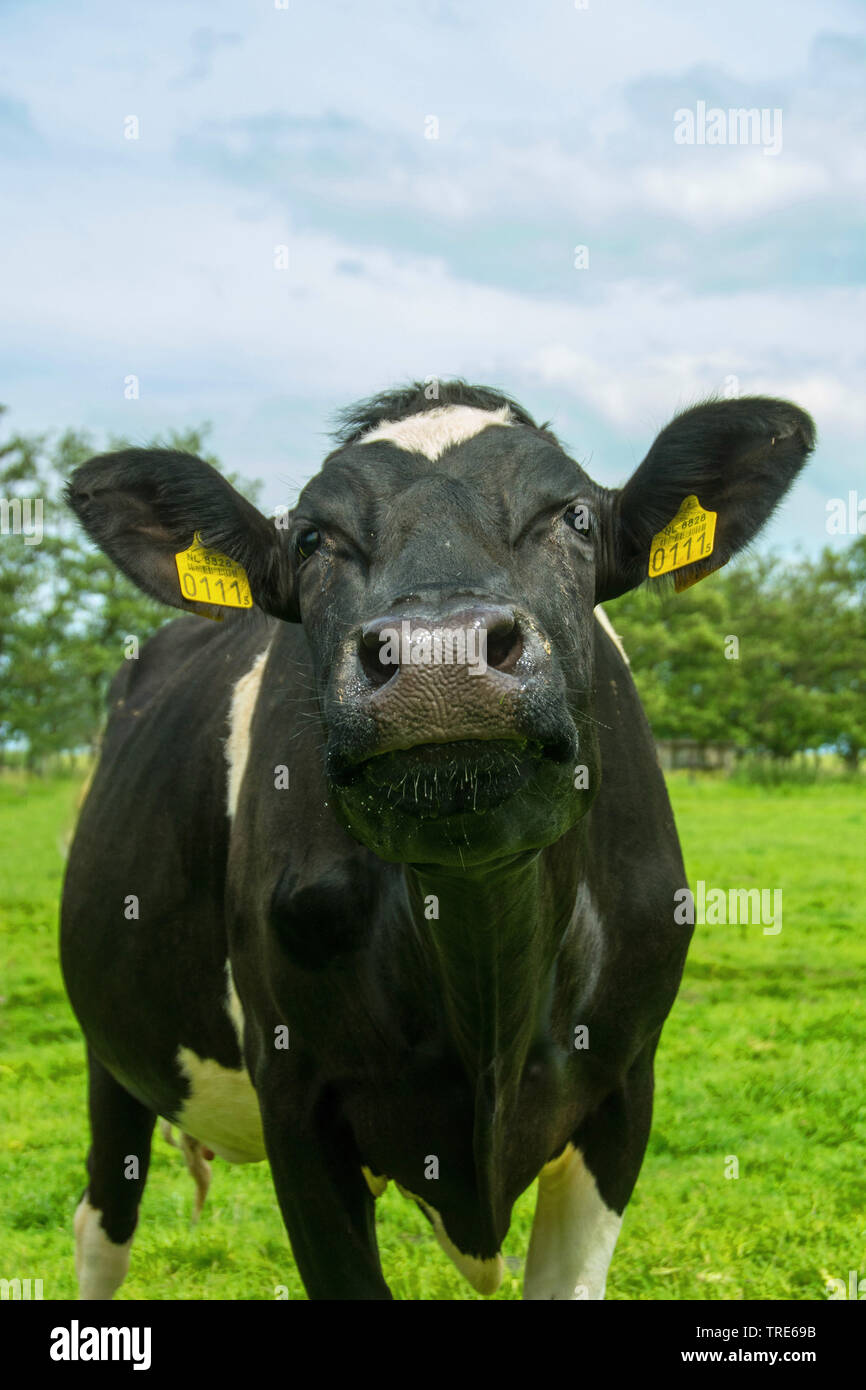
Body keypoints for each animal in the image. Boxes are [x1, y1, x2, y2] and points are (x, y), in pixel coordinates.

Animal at [61, 375, 811, 1295]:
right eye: (311, 538)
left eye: (575, 517)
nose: (438, 657)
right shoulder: (296, 1097)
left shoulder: (624, 1084)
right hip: (108, 1050)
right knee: (103, 1226)